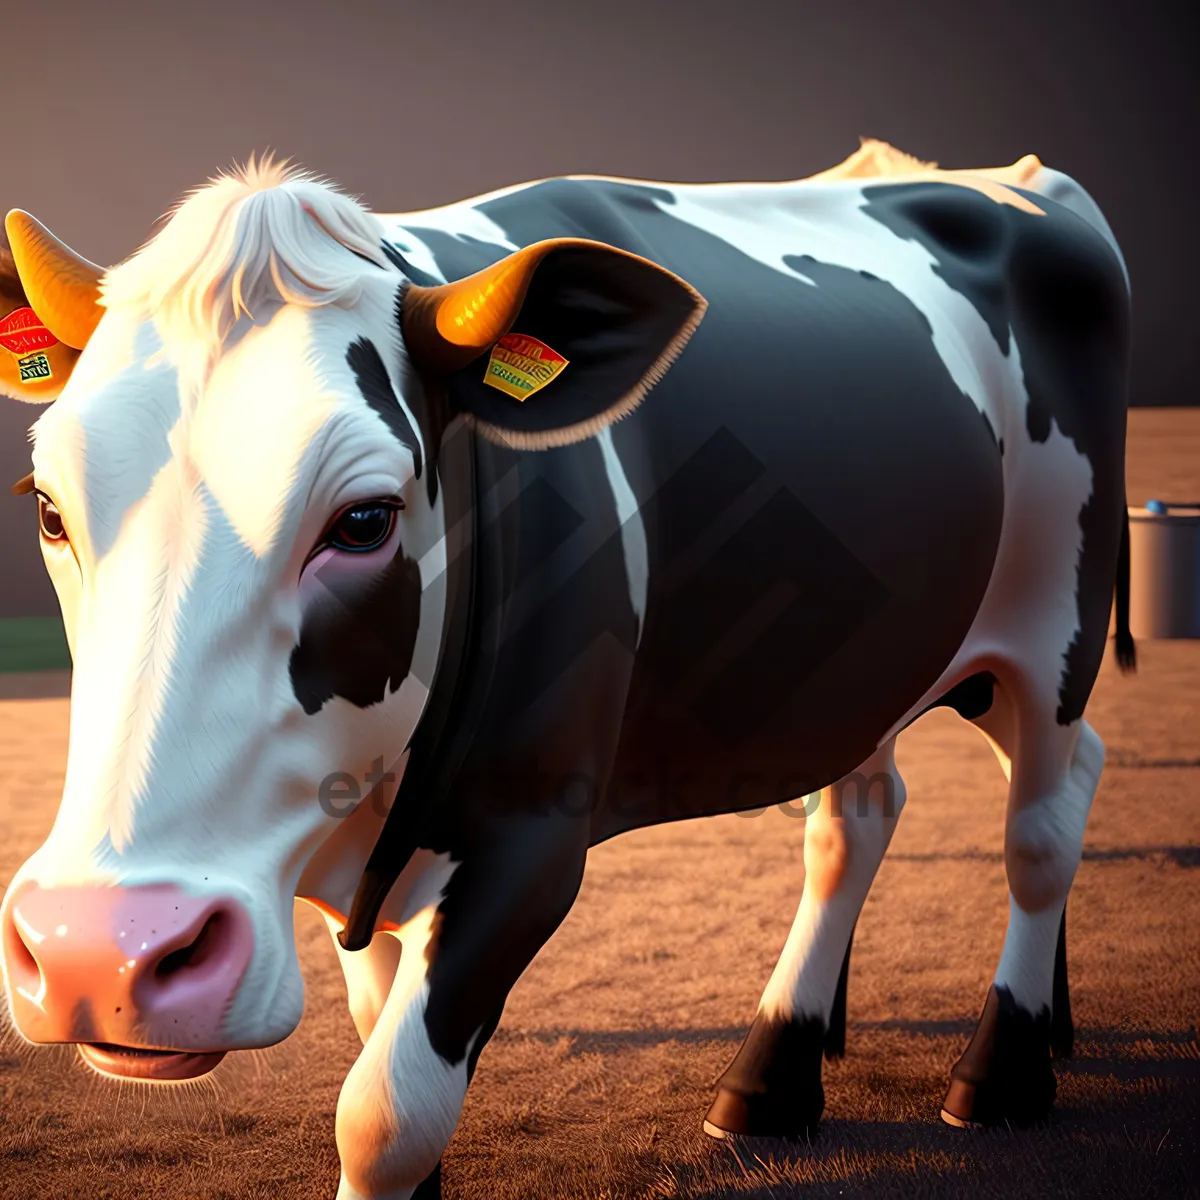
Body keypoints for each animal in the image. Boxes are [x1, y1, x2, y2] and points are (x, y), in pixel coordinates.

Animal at [0, 142, 1132, 1200]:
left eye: (364, 520)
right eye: (49, 507)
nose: (95, 954)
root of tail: (1012, 177)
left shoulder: (530, 839)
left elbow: (385, 1112)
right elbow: (379, 1037)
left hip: (1057, 620)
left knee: (1044, 816)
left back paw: (1006, 1072)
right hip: (872, 665)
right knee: (860, 818)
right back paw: (775, 1077)